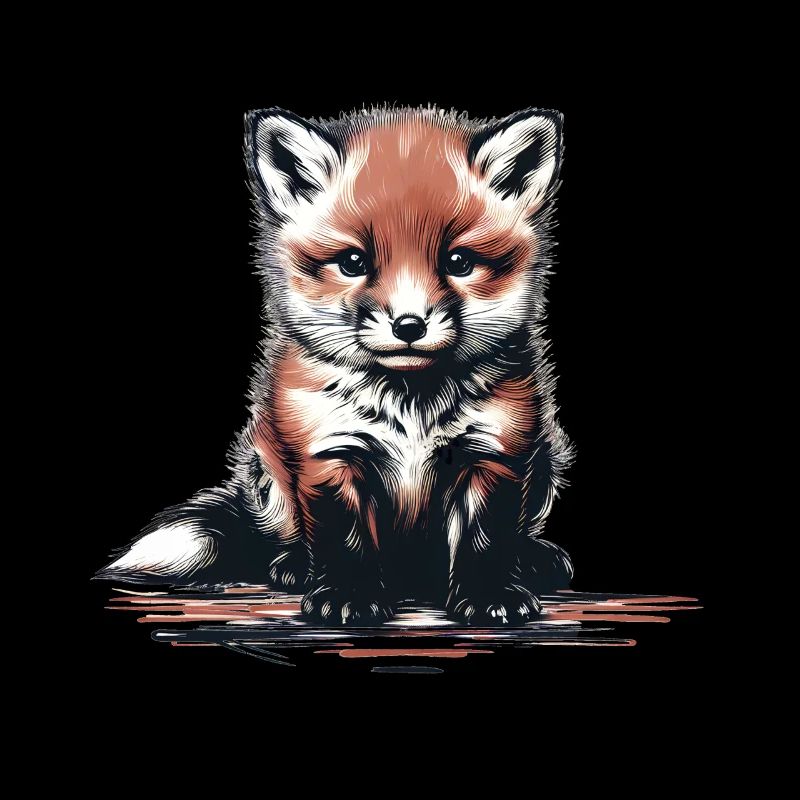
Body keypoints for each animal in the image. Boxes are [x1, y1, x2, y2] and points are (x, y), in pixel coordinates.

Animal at [95, 106, 576, 626]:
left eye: (459, 262)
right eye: (353, 262)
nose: (409, 325)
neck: (410, 406)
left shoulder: (493, 451)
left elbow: (485, 537)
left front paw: (490, 593)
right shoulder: (328, 452)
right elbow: (344, 539)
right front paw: (349, 594)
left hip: (545, 462)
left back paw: (534, 559)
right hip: (269, 472)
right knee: (280, 537)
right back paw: (293, 565)